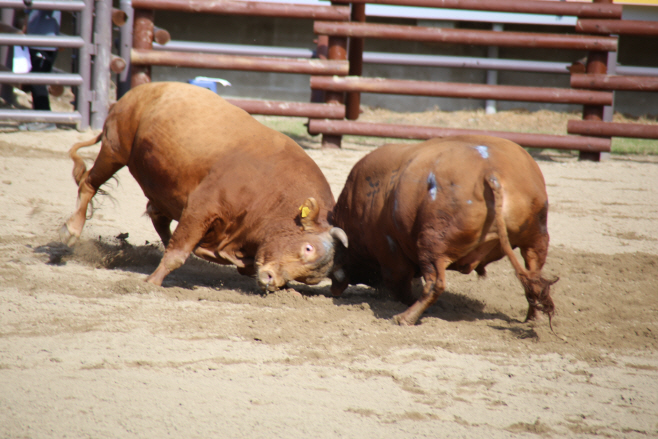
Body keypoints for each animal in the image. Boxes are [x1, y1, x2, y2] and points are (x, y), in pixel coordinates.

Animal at [60, 81, 348, 290]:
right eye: (308, 248)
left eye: (309, 278)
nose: (271, 281)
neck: (274, 196)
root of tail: (139, 91)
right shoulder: (201, 209)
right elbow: (178, 250)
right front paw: (152, 282)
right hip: (114, 149)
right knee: (89, 184)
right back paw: (72, 230)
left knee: (157, 215)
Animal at [330, 135, 556, 326]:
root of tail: (492, 172)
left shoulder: (392, 258)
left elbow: (401, 286)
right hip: (536, 242)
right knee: (535, 281)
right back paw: (533, 318)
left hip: (432, 245)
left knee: (434, 284)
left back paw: (406, 317)